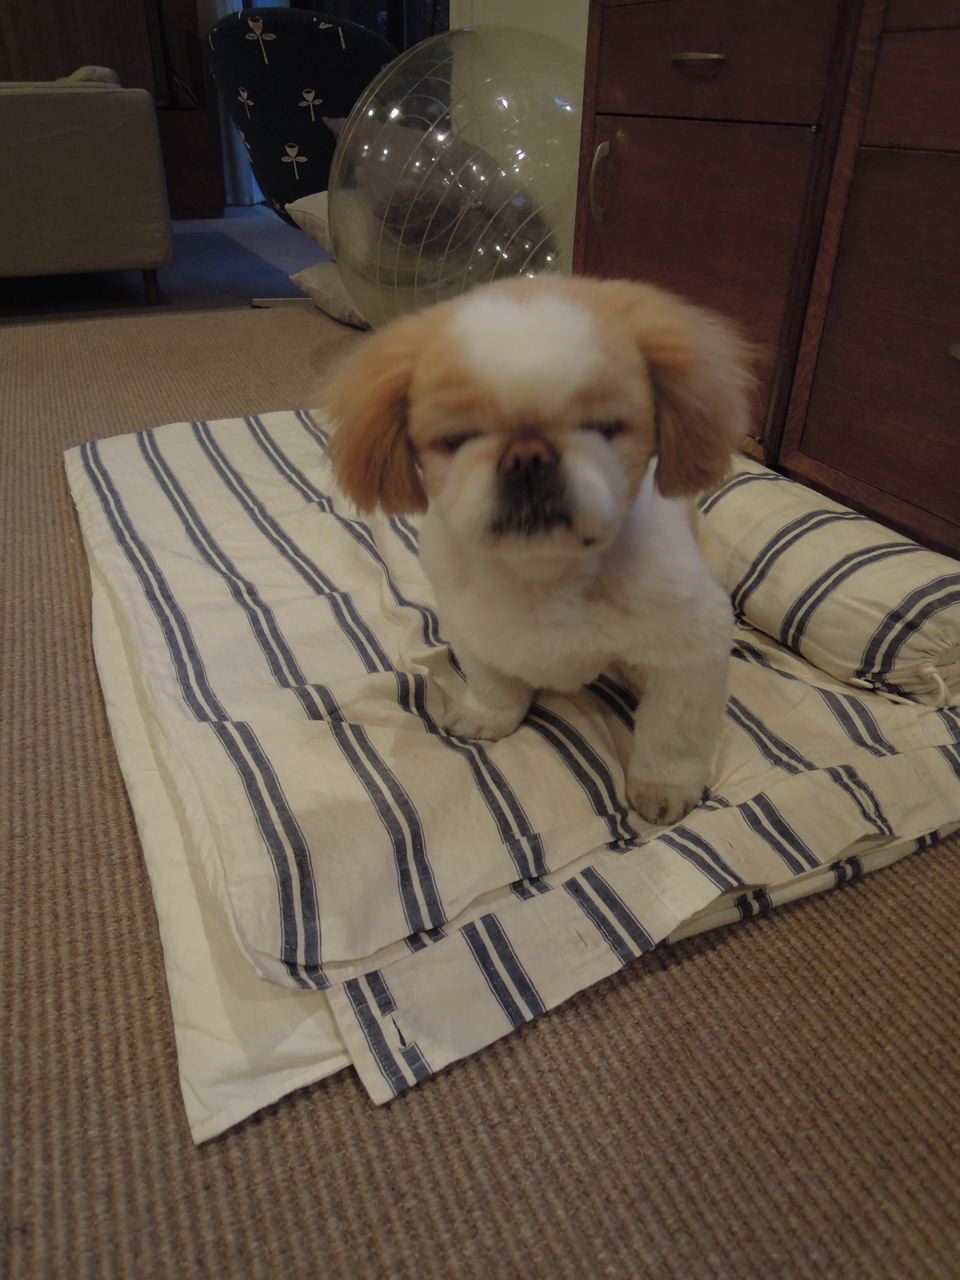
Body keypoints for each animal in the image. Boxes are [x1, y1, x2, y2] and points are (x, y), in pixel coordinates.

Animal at [325, 276, 755, 825]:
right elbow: (493, 685)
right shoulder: (471, 626)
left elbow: (671, 737)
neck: (544, 577)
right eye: (456, 438)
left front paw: (662, 789)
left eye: (606, 427)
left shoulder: (692, 647)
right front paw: (489, 717)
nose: (527, 456)